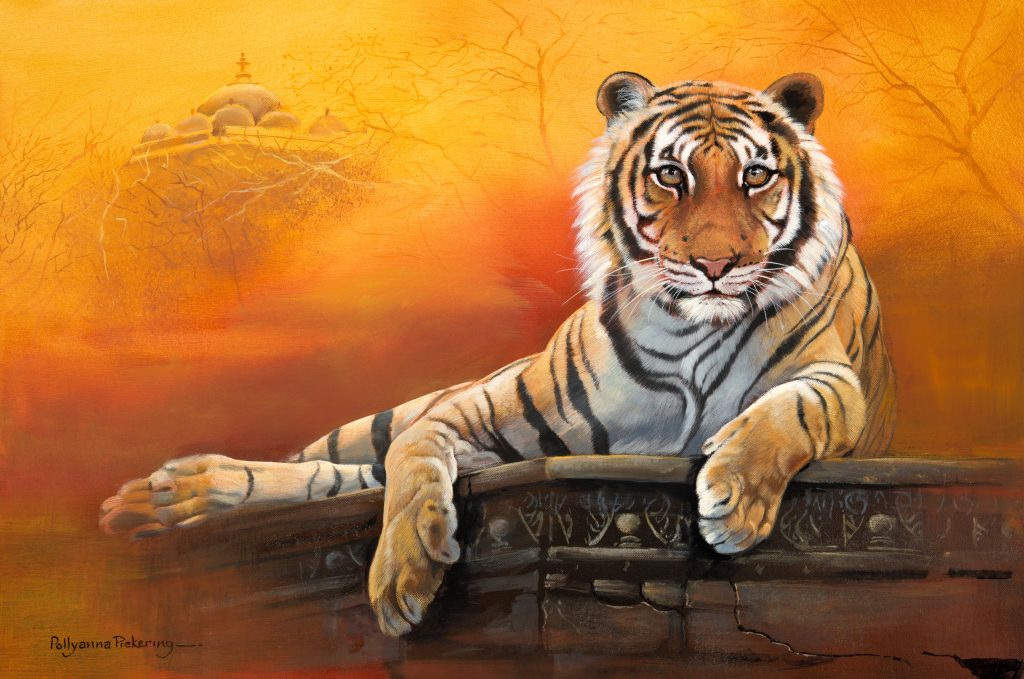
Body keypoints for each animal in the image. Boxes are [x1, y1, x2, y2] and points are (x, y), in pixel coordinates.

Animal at [101, 71, 896, 637]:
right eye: (671, 175)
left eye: (756, 175)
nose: (716, 264)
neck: (690, 331)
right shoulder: (474, 415)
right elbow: (412, 463)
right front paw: (402, 574)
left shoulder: (830, 379)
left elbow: (785, 414)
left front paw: (733, 497)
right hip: (394, 413)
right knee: (331, 462)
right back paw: (166, 496)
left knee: (337, 477)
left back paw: (168, 498)